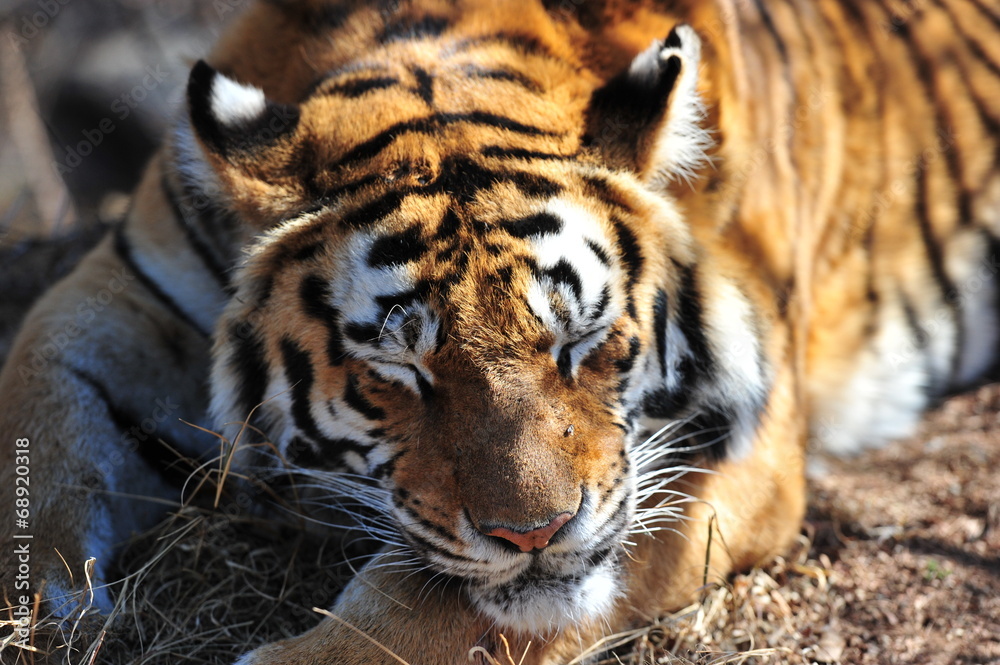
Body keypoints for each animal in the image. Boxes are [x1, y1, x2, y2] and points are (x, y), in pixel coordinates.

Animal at [1, 0, 998, 663]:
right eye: (395, 370)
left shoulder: (741, 450)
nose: (536, 534)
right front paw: (51, 604)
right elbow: (41, 414)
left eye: (584, 343)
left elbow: (437, 611)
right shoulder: (129, 287)